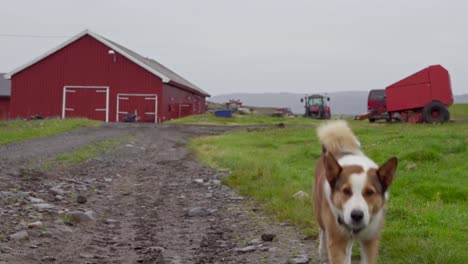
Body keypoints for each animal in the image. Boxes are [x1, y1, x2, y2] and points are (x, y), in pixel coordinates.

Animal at [312, 120, 396, 262]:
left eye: (370, 192)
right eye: (346, 191)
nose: (356, 215)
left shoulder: (371, 241)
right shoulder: (336, 241)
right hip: (319, 213)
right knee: (322, 231)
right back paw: (322, 251)